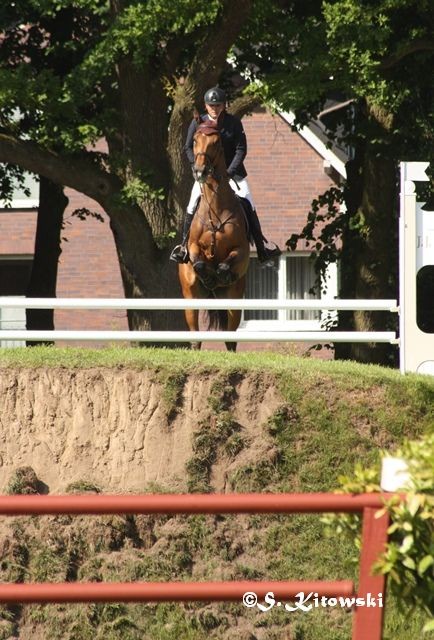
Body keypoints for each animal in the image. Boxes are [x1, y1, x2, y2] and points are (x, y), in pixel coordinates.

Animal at [177, 117, 251, 352]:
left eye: (217, 143)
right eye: (194, 140)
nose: (200, 171)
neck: (215, 207)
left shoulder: (241, 250)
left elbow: (227, 263)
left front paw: (221, 273)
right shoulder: (192, 247)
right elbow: (199, 261)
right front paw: (208, 274)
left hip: (235, 299)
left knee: (230, 338)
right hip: (190, 298)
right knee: (195, 336)